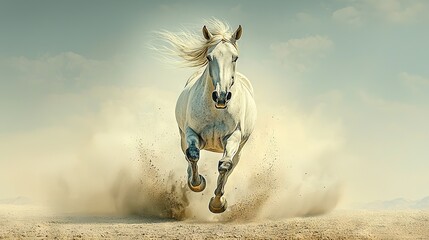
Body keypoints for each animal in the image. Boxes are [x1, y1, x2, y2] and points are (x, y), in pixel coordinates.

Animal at [159, 19, 256, 214]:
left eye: (235, 57)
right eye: (209, 57)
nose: (221, 96)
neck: (216, 110)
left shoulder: (233, 137)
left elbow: (225, 165)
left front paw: (217, 203)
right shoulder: (191, 132)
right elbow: (193, 154)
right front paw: (197, 184)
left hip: (239, 149)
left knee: (231, 165)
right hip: (182, 136)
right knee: (187, 155)